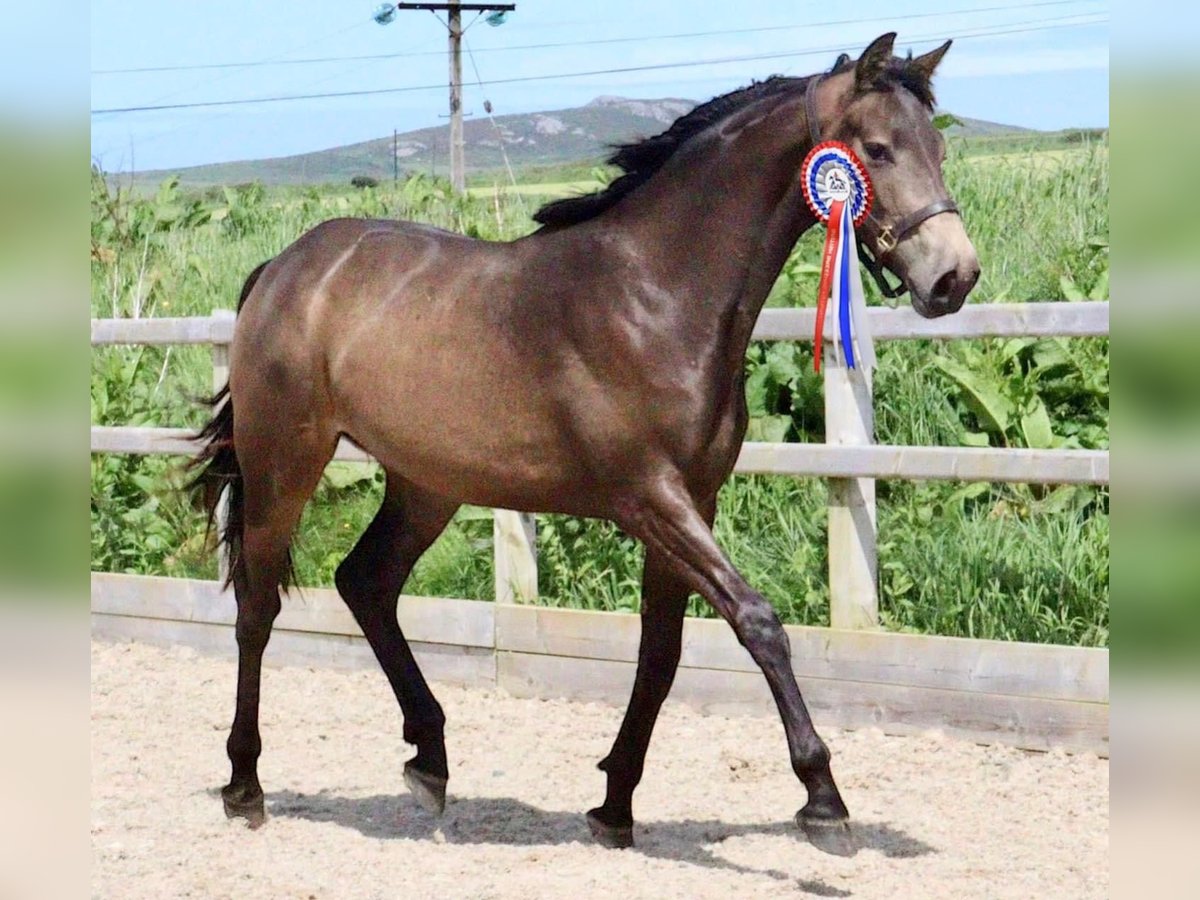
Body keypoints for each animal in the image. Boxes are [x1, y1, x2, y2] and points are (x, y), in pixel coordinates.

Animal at [187, 33, 974, 859]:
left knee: (365, 583)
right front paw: (823, 797)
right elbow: (758, 623)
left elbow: (661, 654)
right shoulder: (649, 499)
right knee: (258, 607)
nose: (954, 276)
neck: (656, 297)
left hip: (427, 483)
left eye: (939, 147)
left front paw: (614, 805)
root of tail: (284, 269)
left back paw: (429, 761)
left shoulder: (694, 503)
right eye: (878, 149)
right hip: (286, 463)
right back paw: (245, 786)